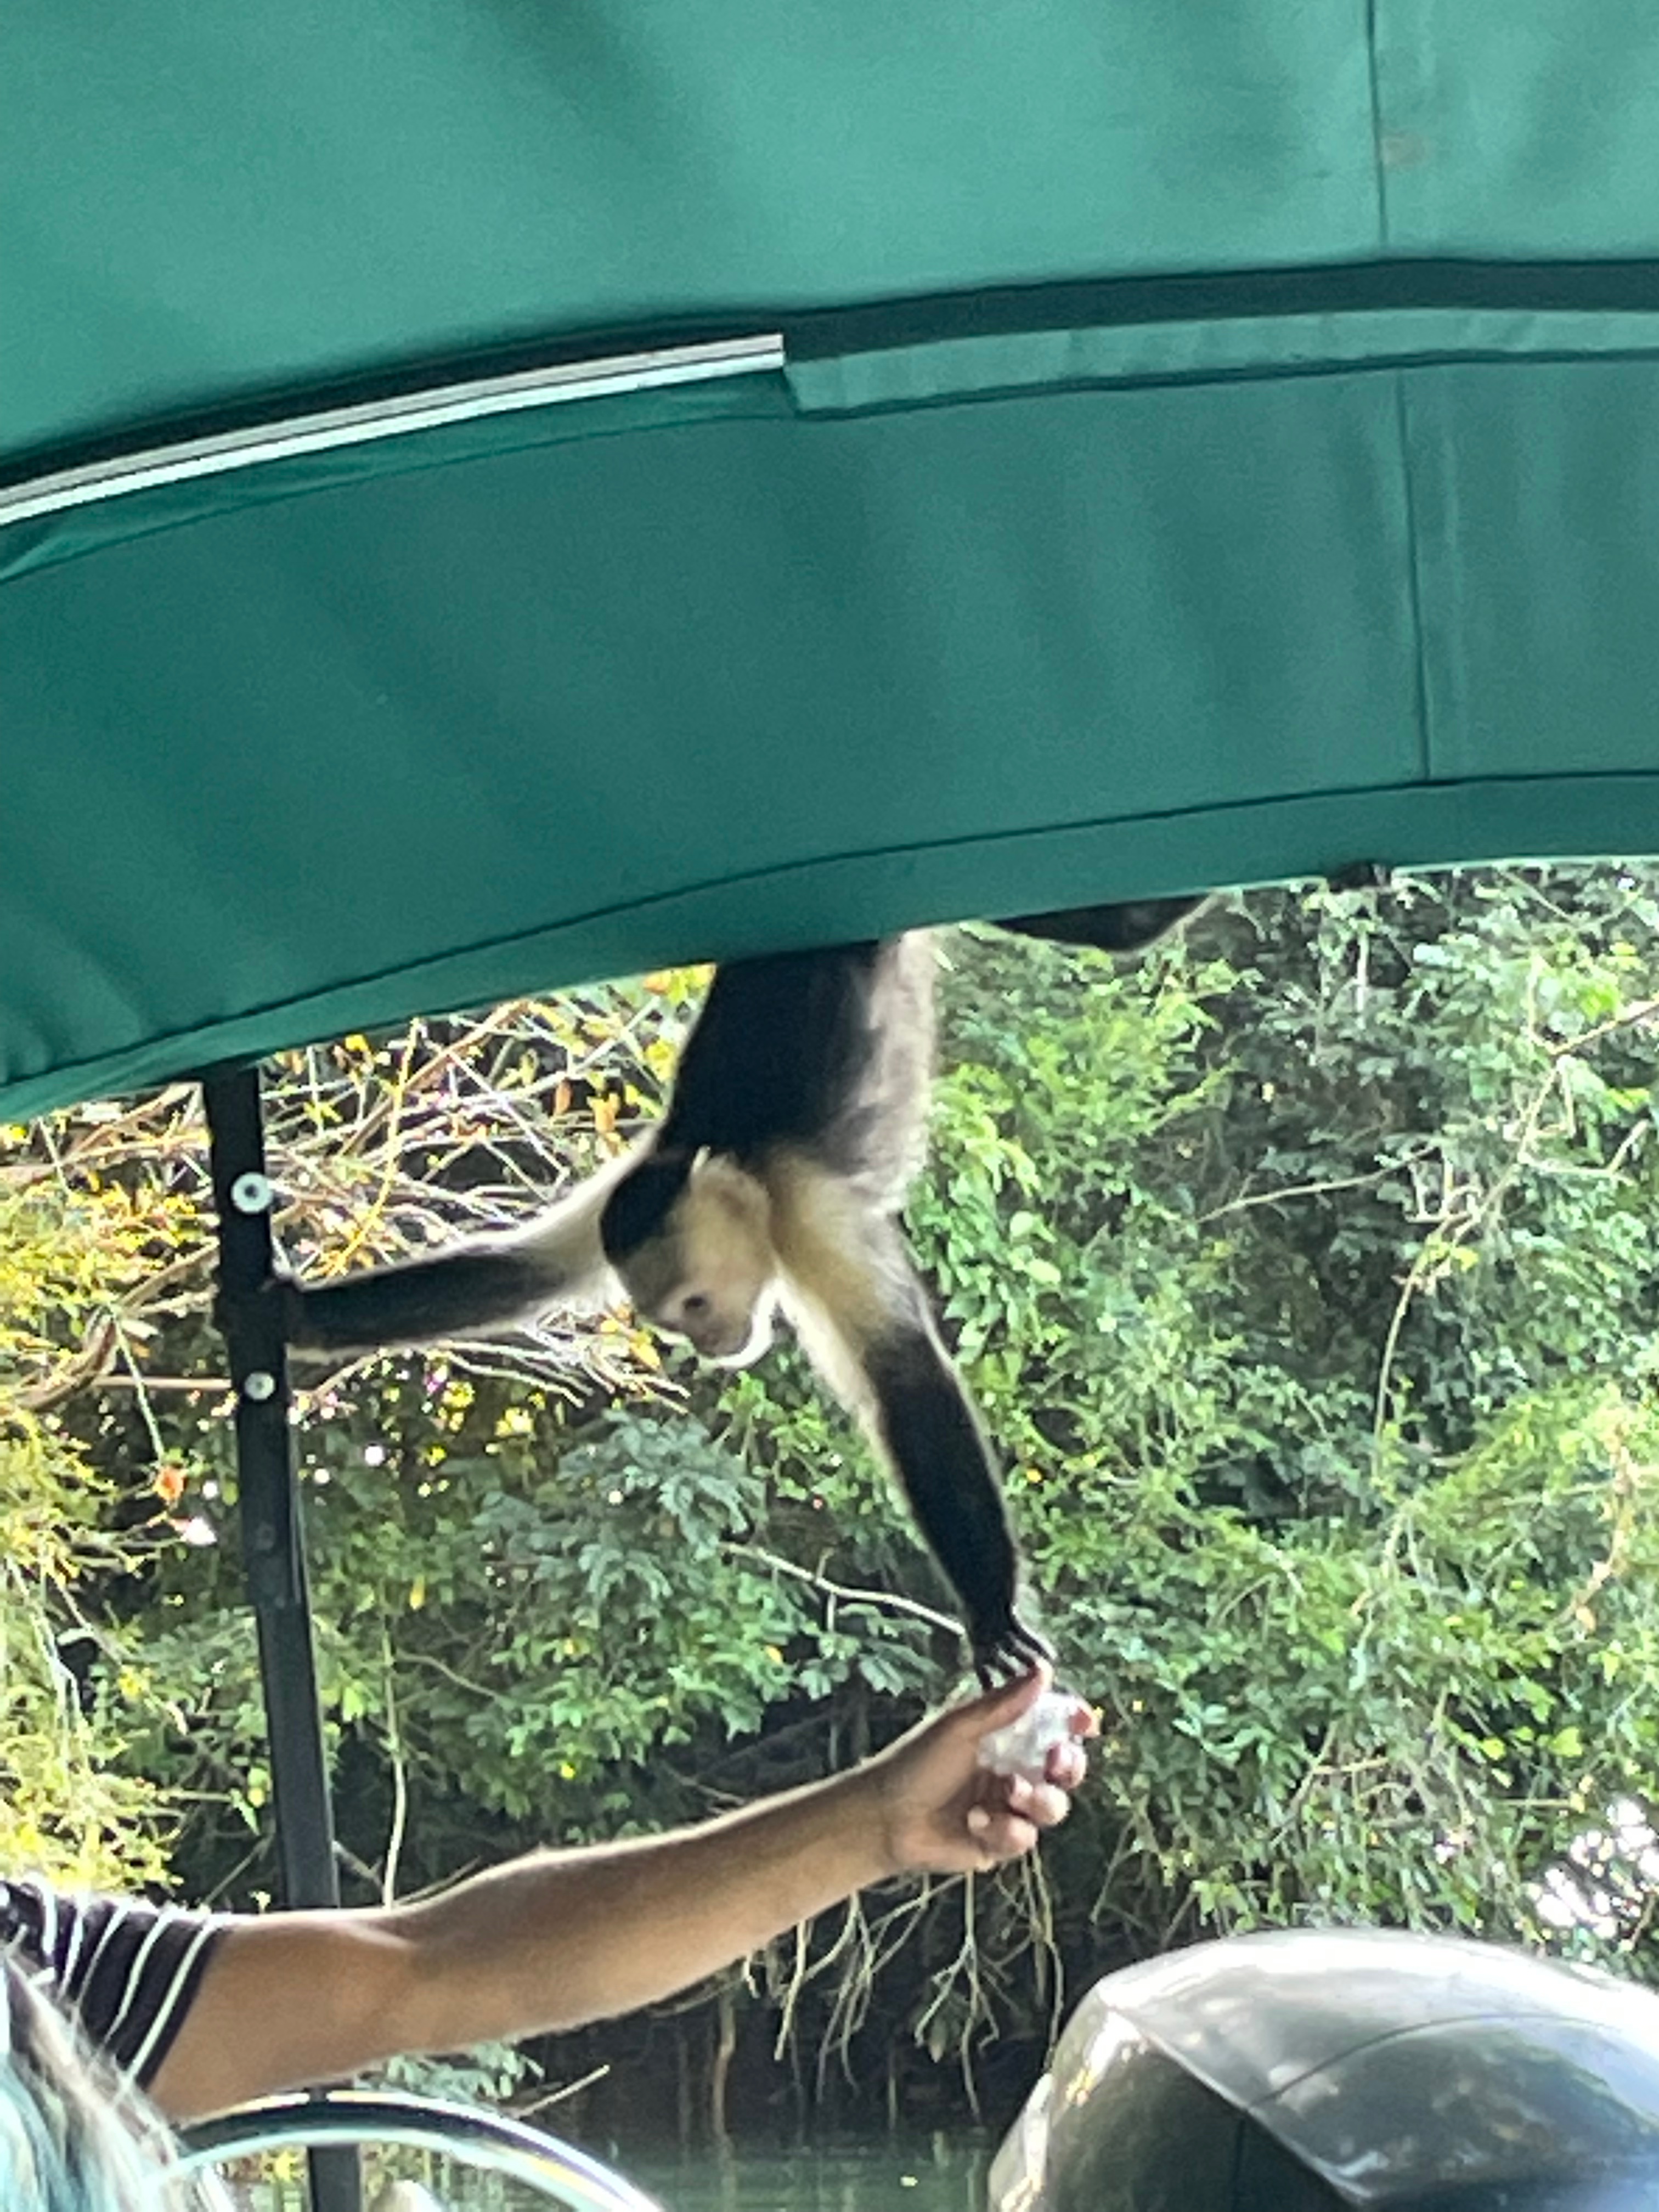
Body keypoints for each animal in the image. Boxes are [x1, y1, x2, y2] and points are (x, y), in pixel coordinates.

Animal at [270, 936, 1052, 1685]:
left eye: (696, 1304)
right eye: (675, 1321)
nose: (710, 1345)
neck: (725, 1162)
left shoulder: (806, 1211)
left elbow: (905, 1375)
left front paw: (991, 1616)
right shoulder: (629, 1193)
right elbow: (516, 1274)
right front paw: (297, 1318)